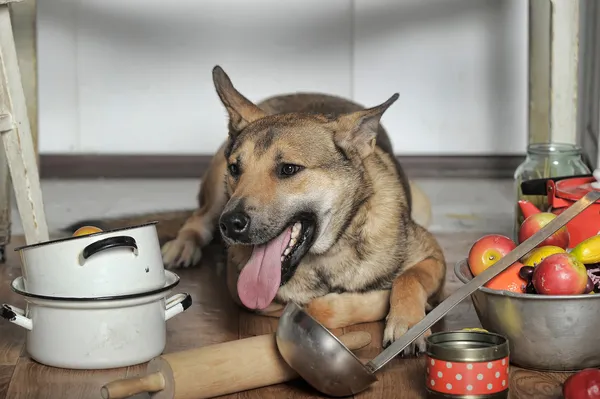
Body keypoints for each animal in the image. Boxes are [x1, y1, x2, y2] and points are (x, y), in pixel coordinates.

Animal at [69, 67, 446, 354]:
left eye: (289, 169)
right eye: (237, 168)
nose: (230, 225)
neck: (326, 256)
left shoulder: (434, 256)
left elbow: (408, 277)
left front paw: (408, 322)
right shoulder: (243, 288)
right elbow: (319, 306)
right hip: (213, 190)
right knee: (196, 220)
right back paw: (184, 244)